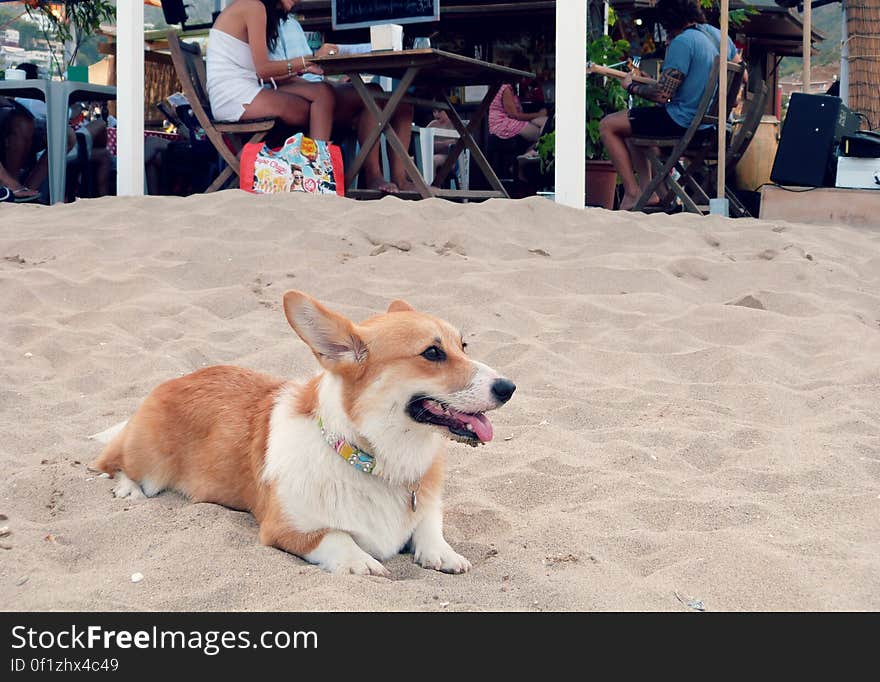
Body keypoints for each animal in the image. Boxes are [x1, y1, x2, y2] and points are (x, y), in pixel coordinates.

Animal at [89, 290, 516, 572]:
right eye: (432, 353)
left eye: (463, 345)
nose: (509, 387)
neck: (374, 460)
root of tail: (175, 380)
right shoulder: (287, 528)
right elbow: (338, 537)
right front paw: (362, 562)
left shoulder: (424, 505)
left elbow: (429, 524)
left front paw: (442, 553)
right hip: (149, 463)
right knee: (109, 460)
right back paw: (127, 487)